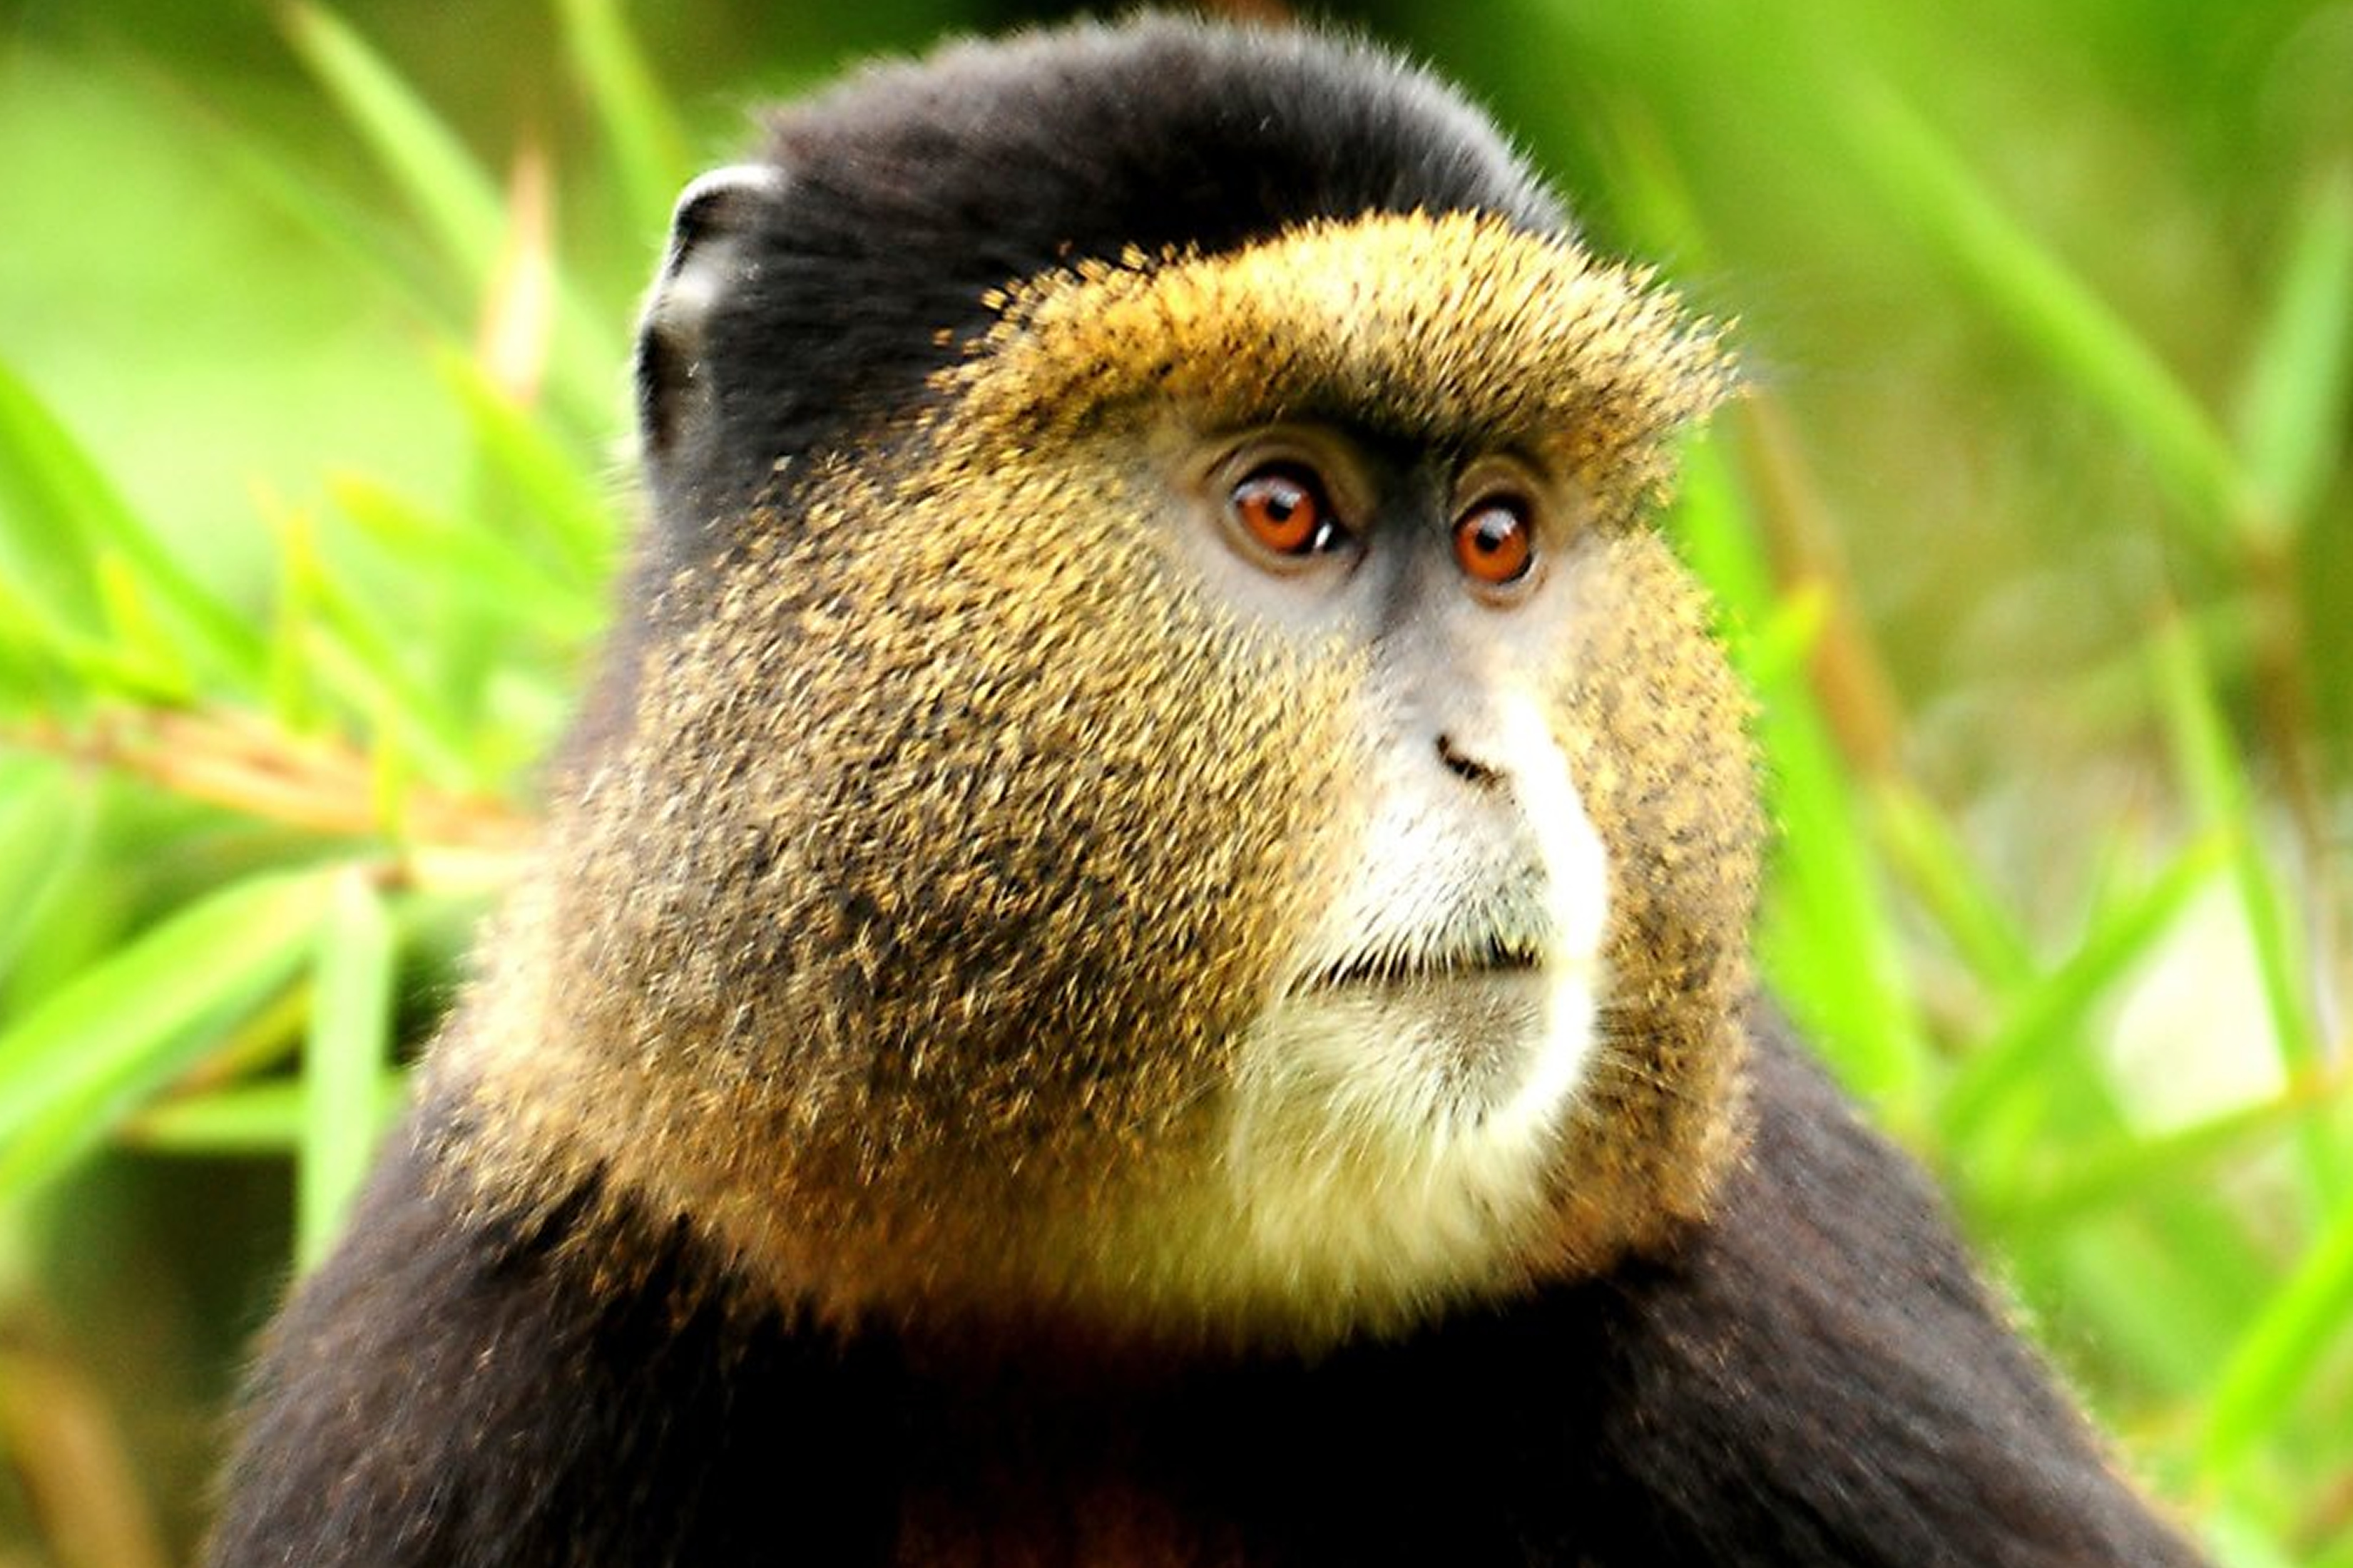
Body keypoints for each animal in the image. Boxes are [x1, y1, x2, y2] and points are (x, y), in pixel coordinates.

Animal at [206, 17, 2214, 1567]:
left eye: (1498, 537)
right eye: (1283, 509)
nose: (1494, 751)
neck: (1107, 1312)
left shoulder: (1795, 1294)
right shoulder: (478, 1338)